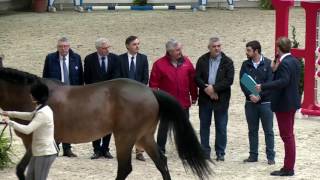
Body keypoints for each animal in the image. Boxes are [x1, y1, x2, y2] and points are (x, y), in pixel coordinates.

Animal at [0, 67, 210, 180]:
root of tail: (151, 92)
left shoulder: (34, 142)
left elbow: (22, 170)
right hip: (144, 137)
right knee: (161, 162)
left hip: (125, 137)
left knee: (125, 168)